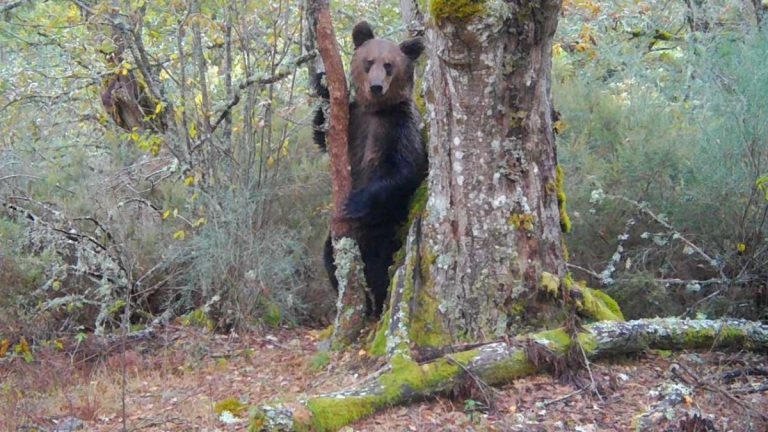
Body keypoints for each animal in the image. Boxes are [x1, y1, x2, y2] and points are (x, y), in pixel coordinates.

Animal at [313, 21, 427, 317]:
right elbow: (321, 136)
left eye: (389, 65)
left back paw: (375, 305)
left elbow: (405, 170)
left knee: (381, 266)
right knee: (329, 257)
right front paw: (322, 84)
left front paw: (354, 202)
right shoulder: (353, 121)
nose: (376, 87)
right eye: (368, 62)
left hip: (387, 227)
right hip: (339, 239)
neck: (376, 111)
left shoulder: (400, 127)